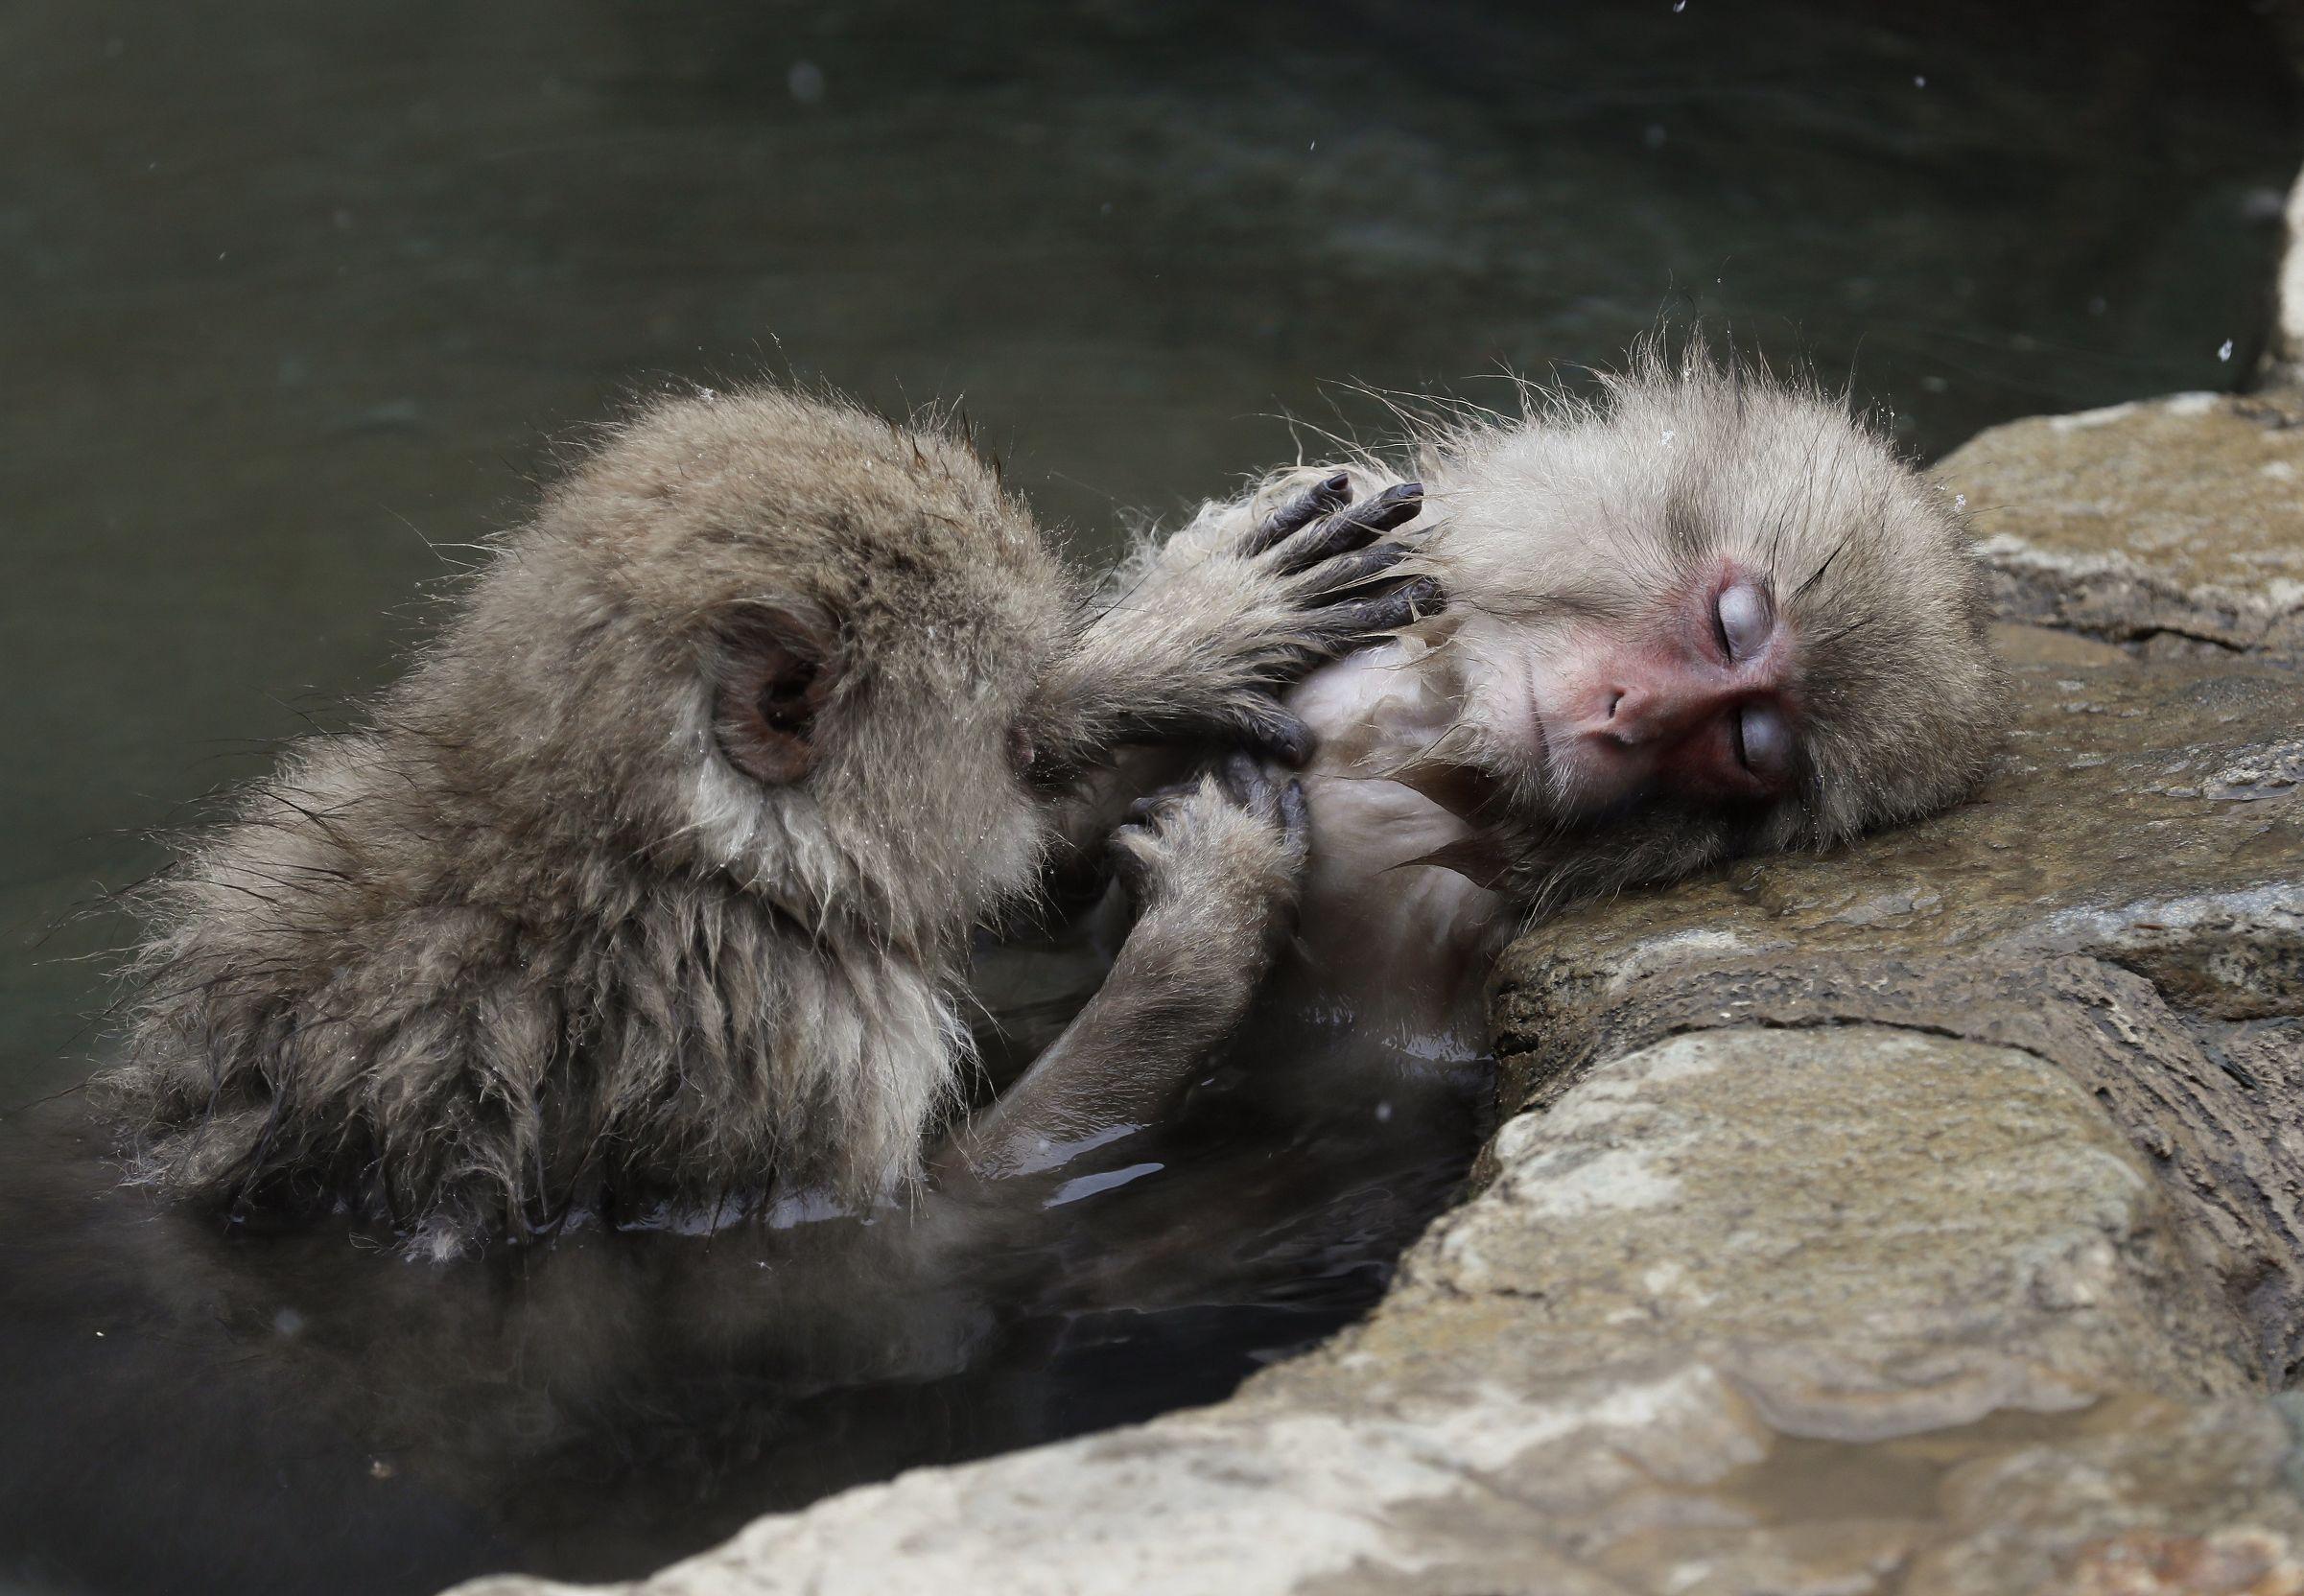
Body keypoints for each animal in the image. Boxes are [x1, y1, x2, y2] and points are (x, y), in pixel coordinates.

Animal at [99, 387, 1428, 1261]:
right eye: (1004, 745)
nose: (1043, 736)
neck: (640, 849)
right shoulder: (769, 1031)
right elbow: (911, 1232)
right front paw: (1207, 915)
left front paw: (1149, 664)